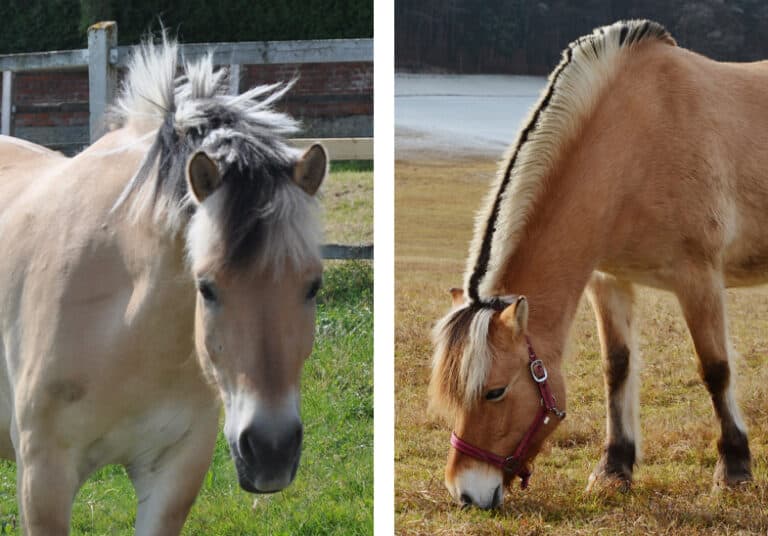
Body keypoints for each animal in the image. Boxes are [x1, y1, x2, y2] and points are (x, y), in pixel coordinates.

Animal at [429, 18, 768, 509]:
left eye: (495, 391)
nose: (467, 493)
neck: (637, 141)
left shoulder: (698, 278)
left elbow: (715, 369)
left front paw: (734, 469)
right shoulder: (609, 281)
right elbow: (617, 369)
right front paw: (613, 468)